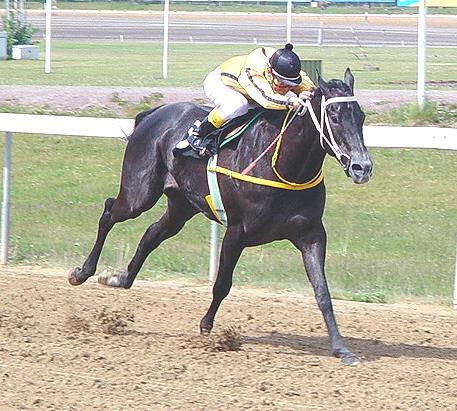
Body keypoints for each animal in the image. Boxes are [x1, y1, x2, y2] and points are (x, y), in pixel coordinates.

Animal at [69, 68, 372, 365]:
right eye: (334, 117)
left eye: (361, 116)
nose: (362, 167)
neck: (283, 165)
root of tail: (154, 113)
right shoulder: (236, 232)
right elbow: (222, 284)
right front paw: (207, 325)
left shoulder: (311, 234)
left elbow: (322, 292)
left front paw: (341, 349)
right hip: (138, 194)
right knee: (109, 211)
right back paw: (82, 272)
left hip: (181, 205)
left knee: (152, 234)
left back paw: (120, 279)